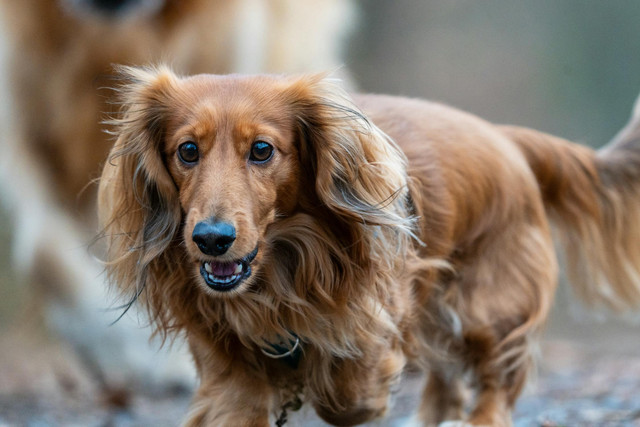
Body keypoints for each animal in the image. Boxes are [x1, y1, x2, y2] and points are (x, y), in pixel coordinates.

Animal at [100, 65, 640, 426]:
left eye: (262, 150)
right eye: (188, 150)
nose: (212, 240)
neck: (279, 277)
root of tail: (505, 138)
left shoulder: (377, 315)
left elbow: (347, 393)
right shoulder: (229, 368)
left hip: (489, 307)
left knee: (495, 384)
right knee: (447, 382)